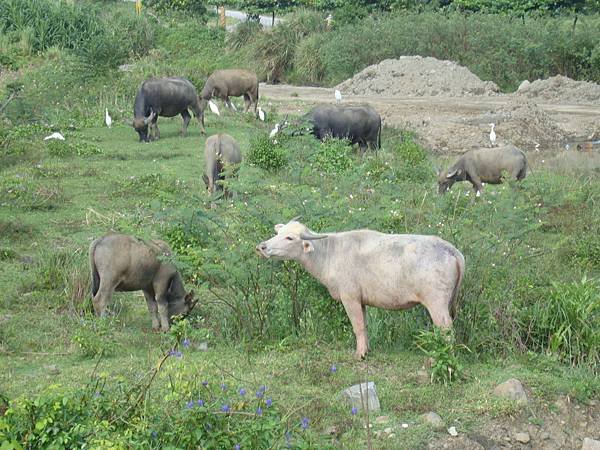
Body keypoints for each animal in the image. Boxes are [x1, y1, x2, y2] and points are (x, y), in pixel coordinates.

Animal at [255, 219, 466, 358]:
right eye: (278, 234)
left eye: (290, 238)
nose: (262, 247)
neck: (330, 253)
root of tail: (450, 249)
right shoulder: (362, 301)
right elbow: (364, 324)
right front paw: (367, 350)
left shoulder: (350, 298)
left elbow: (357, 326)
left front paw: (359, 354)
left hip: (436, 303)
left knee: (446, 329)